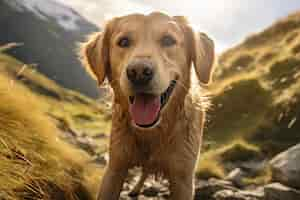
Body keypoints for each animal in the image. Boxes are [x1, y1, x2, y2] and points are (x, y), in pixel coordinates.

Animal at [81, 11, 214, 199]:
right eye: (123, 42)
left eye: (168, 40)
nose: (138, 73)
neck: (152, 131)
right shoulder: (115, 167)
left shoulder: (183, 177)